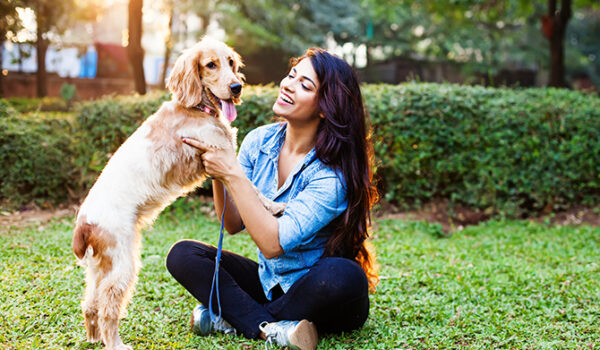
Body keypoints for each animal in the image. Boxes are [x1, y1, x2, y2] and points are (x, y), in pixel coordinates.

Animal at [72, 37, 284, 350]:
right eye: (211, 65)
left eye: (231, 63)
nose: (236, 87)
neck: (195, 108)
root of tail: (84, 221)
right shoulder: (221, 156)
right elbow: (253, 189)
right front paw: (273, 206)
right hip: (123, 264)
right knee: (108, 306)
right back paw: (115, 343)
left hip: (100, 267)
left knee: (90, 303)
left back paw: (94, 337)